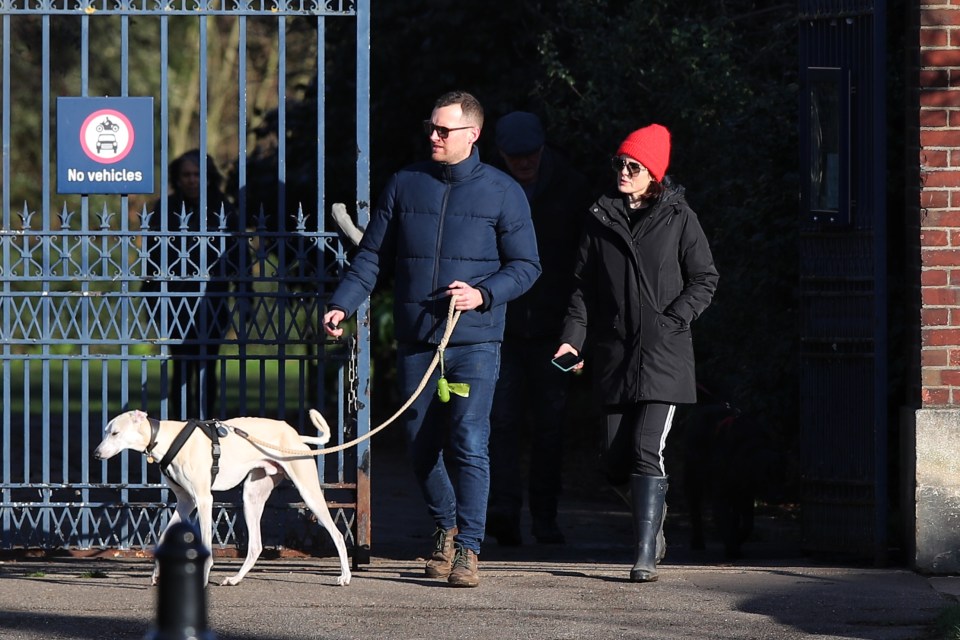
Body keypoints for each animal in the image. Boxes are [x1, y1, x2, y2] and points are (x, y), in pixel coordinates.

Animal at [94, 410, 352, 584]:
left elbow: (207, 545)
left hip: (308, 492)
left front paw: (203, 577)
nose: (96, 454)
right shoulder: (185, 502)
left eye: (115, 432)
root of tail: (296, 436)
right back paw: (236, 578)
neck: (166, 438)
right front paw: (157, 572)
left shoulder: (203, 500)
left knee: (338, 534)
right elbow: (162, 539)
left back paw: (345, 575)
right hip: (252, 496)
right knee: (256, 546)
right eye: (105, 431)